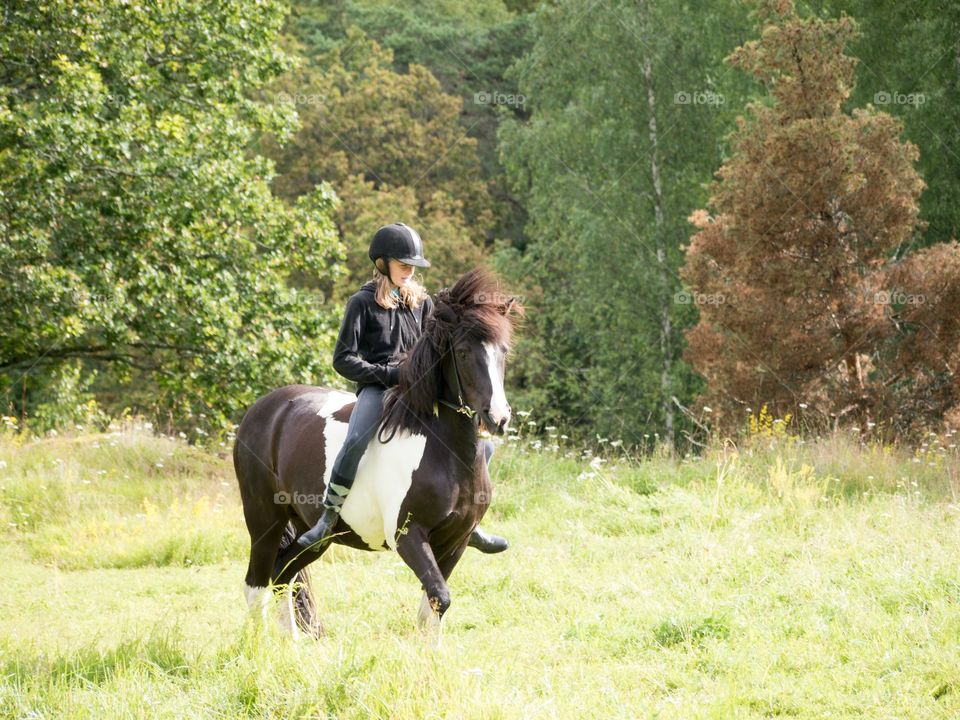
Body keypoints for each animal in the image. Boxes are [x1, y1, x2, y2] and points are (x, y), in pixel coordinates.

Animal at [231, 270, 516, 640]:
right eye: (465, 353)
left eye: (504, 352)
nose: (498, 418)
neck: (444, 452)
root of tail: (261, 410)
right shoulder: (408, 536)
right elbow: (440, 596)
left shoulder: (457, 540)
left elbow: (432, 607)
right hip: (264, 518)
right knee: (257, 584)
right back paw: (258, 646)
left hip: (311, 532)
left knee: (284, 575)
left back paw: (290, 645)